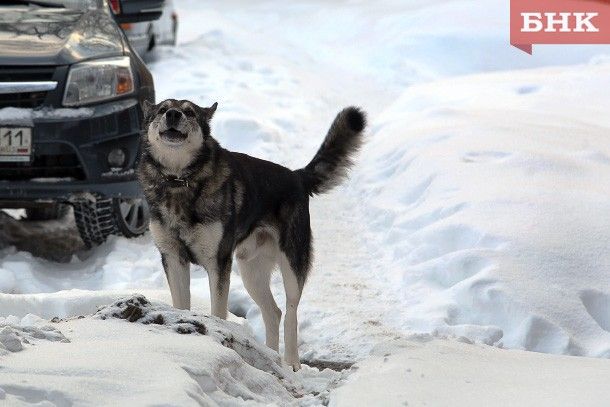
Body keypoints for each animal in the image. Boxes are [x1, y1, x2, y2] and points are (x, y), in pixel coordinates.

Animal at [137, 99, 366, 370]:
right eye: (163, 109)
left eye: (189, 111)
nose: (173, 115)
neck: (180, 181)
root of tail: (297, 176)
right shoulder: (173, 259)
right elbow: (181, 306)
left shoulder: (218, 263)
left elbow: (218, 310)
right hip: (251, 272)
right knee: (273, 312)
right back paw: (271, 357)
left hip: (291, 266)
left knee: (290, 313)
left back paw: (291, 362)